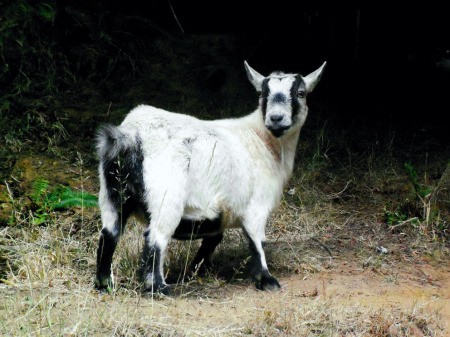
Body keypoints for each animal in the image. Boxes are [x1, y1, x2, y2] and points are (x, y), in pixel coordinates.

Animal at [96, 60, 326, 294]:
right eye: (262, 93)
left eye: (300, 93)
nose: (276, 118)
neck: (263, 140)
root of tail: (130, 137)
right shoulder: (257, 204)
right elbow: (256, 241)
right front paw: (266, 279)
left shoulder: (221, 210)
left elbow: (214, 237)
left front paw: (196, 270)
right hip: (166, 195)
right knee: (155, 237)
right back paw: (159, 288)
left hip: (112, 193)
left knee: (109, 234)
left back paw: (105, 283)